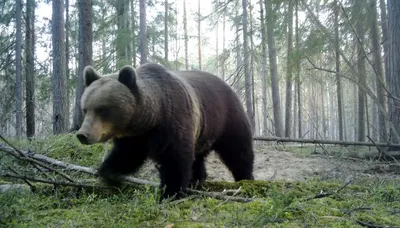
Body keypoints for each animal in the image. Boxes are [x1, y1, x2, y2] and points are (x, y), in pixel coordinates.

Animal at [76, 63, 255, 200]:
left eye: (103, 109)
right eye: (85, 109)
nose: (82, 134)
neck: (152, 118)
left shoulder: (173, 121)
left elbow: (174, 159)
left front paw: (170, 193)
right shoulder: (135, 137)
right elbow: (126, 156)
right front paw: (110, 174)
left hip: (225, 118)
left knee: (238, 151)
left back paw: (245, 179)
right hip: (202, 133)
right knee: (197, 158)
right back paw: (196, 181)